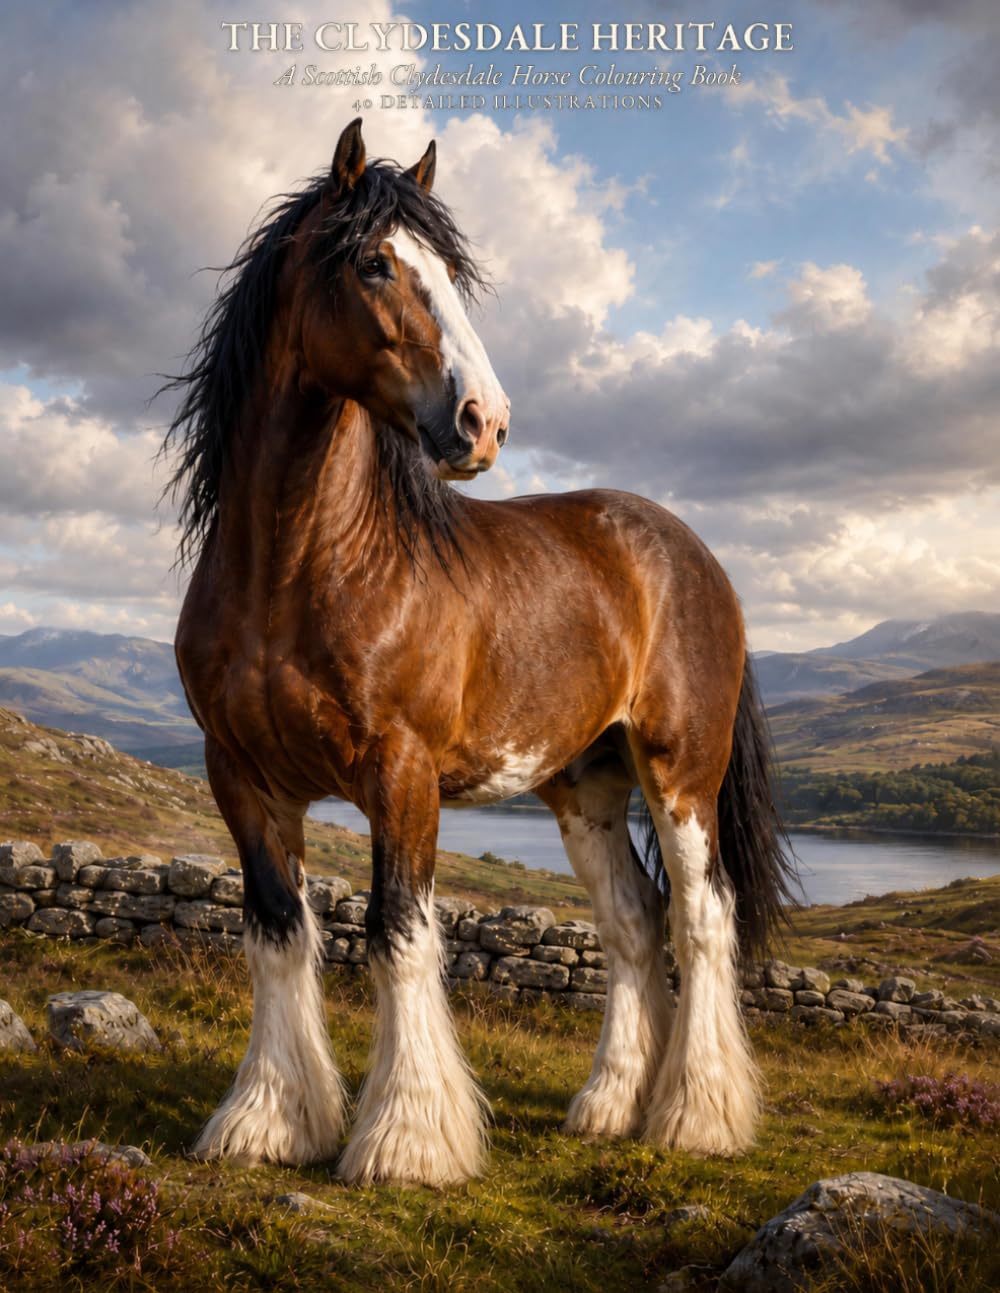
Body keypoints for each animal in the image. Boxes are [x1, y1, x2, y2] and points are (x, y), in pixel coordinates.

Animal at [164, 118, 796, 1187]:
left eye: (453, 272)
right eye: (375, 262)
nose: (484, 422)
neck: (301, 567)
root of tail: (688, 552)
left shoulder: (402, 774)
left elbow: (400, 936)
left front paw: (407, 1140)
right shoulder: (241, 776)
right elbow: (279, 935)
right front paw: (268, 1121)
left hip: (681, 773)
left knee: (702, 916)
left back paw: (695, 1117)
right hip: (585, 786)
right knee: (633, 924)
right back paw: (608, 1106)